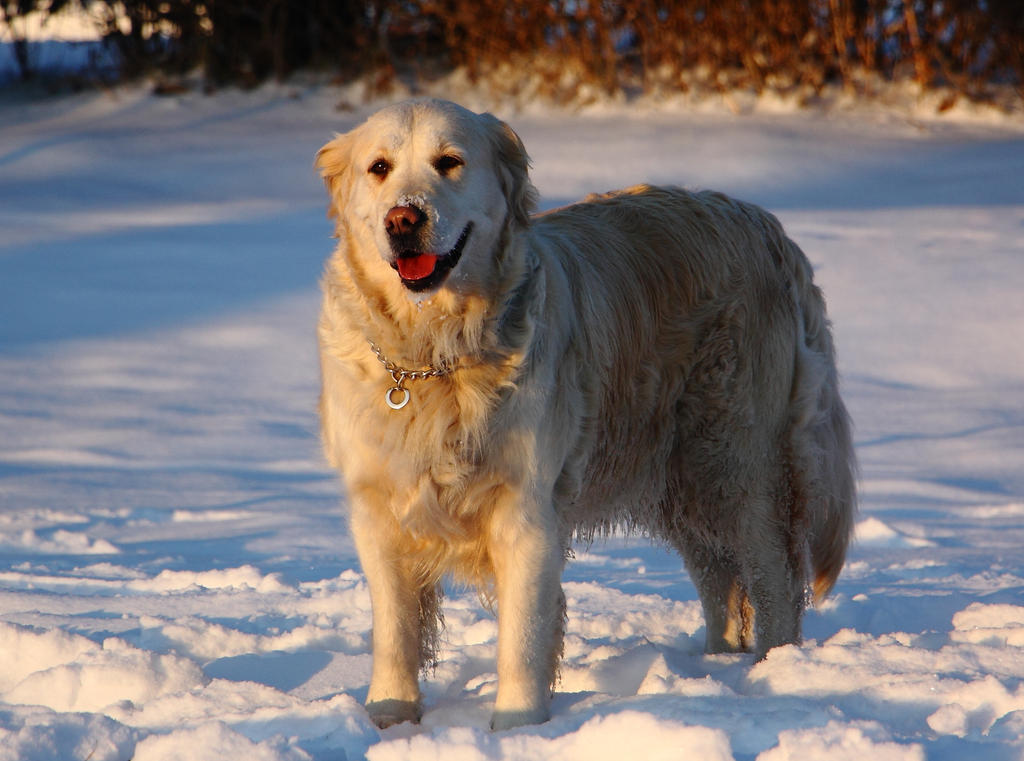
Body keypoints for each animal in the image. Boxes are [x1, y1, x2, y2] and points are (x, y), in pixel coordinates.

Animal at [315, 98, 860, 729]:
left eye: (449, 162)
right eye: (378, 168)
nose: (403, 219)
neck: (434, 357)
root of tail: (762, 222)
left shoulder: (526, 509)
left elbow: (523, 637)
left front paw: (516, 728)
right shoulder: (378, 510)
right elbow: (395, 632)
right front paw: (388, 719)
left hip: (733, 458)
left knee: (774, 575)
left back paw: (773, 673)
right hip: (682, 479)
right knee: (721, 580)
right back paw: (714, 666)